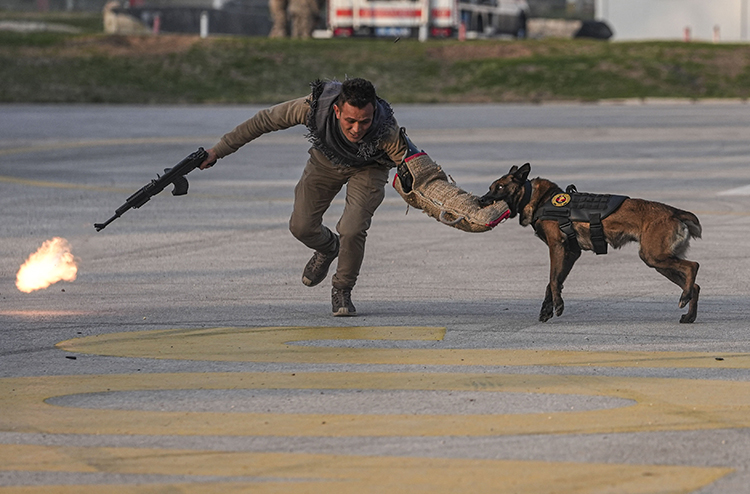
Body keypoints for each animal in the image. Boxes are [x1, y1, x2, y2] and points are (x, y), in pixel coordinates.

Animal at [482, 163, 704, 324]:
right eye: (490, 188)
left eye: (499, 187)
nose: (482, 200)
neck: (540, 199)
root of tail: (674, 212)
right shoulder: (571, 253)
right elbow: (554, 282)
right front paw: (547, 309)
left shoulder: (557, 246)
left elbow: (553, 280)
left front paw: (558, 305)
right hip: (658, 262)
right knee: (695, 285)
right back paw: (689, 315)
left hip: (655, 257)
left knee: (693, 266)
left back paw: (684, 298)